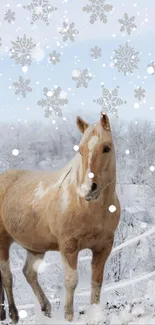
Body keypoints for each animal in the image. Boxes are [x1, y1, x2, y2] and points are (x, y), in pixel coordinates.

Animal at [0, 112, 120, 322]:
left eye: (106, 148)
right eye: (80, 151)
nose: (88, 189)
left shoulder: (103, 247)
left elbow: (96, 281)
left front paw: (95, 314)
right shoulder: (69, 247)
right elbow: (71, 281)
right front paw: (69, 317)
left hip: (35, 247)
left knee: (29, 273)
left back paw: (46, 309)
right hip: (3, 241)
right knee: (7, 276)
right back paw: (14, 315)